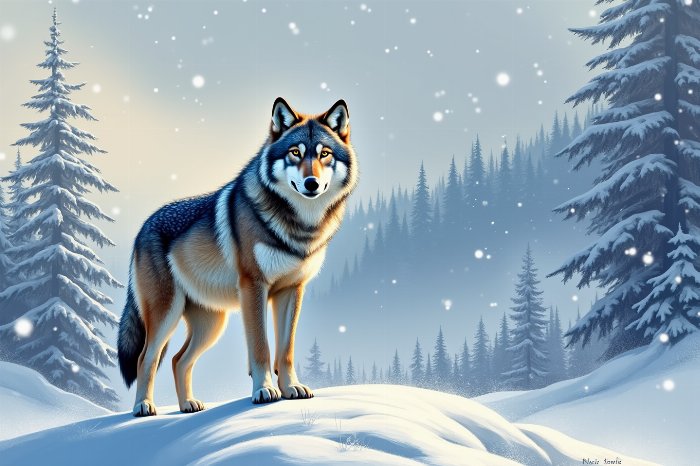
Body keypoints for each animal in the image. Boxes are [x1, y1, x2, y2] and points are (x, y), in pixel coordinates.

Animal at [117, 98, 357, 416]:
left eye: (324, 154)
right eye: (295, 153)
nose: (311, 183)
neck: (299, 228)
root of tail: (142, 228)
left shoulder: (292, 290)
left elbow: (286, 350)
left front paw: (291, 388)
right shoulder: (253, 287)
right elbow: (261, 347)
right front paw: (264, 390)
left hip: (211, 324)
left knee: (178, 359)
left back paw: (188, 405)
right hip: (166, 314)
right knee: (147, 358)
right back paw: (143, 407)